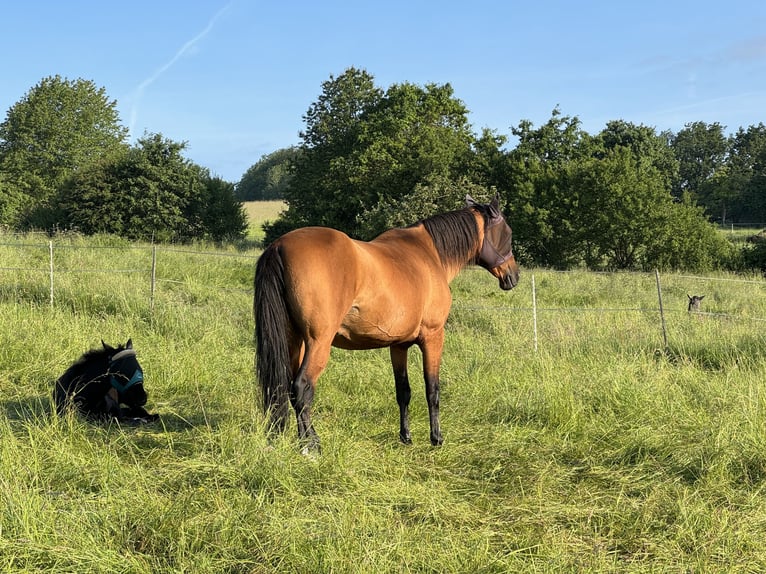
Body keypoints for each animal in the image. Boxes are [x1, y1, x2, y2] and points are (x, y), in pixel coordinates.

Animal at [255, 196, 520, 452]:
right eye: (507, 234)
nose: (514, 276)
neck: (430, 253)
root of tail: (279, 246)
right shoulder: (434, 337)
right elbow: (432, 389)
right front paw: (436, 438)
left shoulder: (398, 345)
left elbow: (403, 391)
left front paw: (406, 437)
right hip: (317, 343)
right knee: (302, 388)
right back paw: (311, 445)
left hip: (294, 341)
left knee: (287, 389)